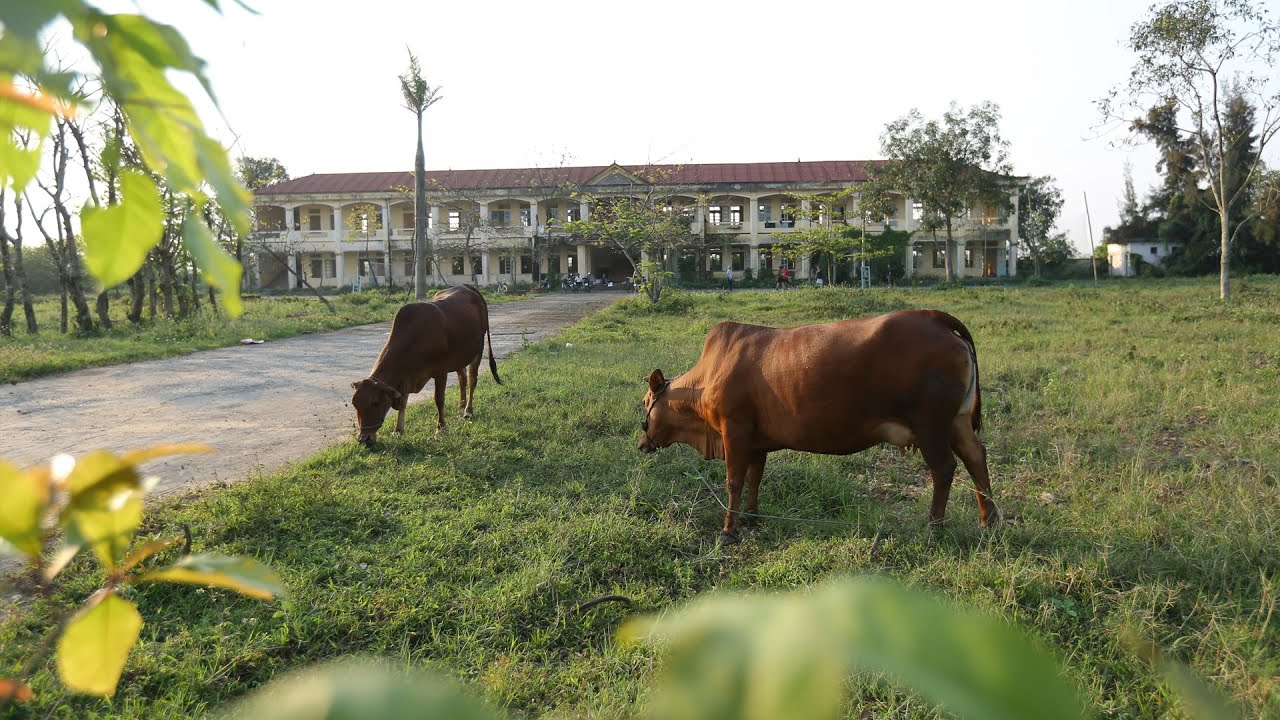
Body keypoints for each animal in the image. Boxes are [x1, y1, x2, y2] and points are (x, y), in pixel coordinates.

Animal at [355, 284, 504, 443]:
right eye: (354, 404)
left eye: (375, 402)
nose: (363, 438)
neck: (415, 338)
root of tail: (465, 286)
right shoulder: (406, 377)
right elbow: (403, 403)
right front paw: (398, 430)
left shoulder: (441, 372)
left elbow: (439, 399)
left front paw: (441, 428)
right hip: (458, 357)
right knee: (462, 379)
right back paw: (460, 408)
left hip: (478, 350)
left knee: (472, 380)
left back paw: (468, 411)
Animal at [640, 307, 998, 538]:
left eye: (645, 403)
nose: (641, 443)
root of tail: (936, 319)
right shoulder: (757, 441)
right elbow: (755, 478)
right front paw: (752, 516)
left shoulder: (734, 432)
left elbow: (734, 482)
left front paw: (729, 529)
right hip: (956, 422)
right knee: (976, 457)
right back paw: (989, 522)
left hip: (931, 425)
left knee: (944, 468)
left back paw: (934, 527)